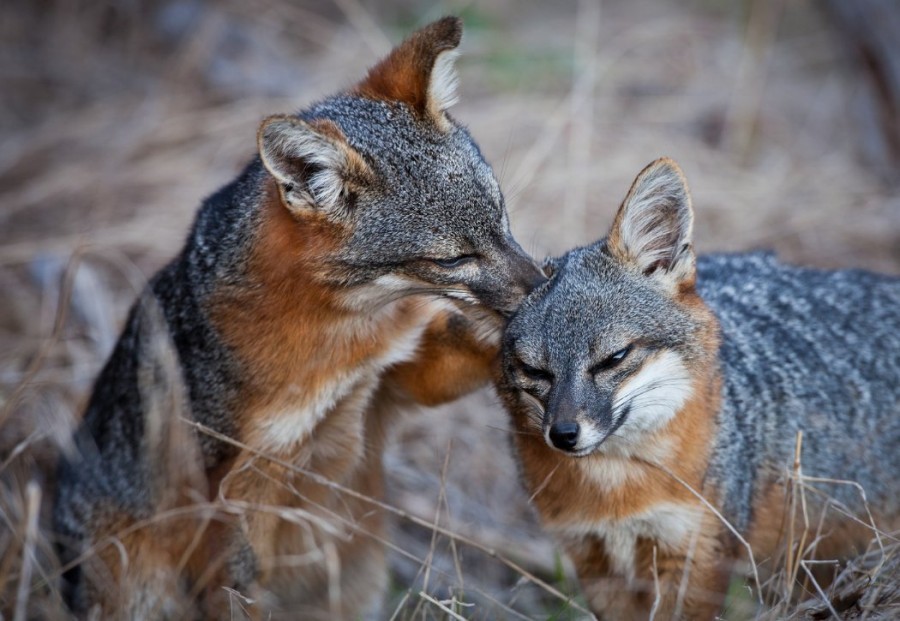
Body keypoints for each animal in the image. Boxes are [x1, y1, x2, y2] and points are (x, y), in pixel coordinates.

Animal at [58, 17, 548, 616]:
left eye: (503, 219)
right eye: (453, 259)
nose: (541, 287)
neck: (346, 342)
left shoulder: (392, 380)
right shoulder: (233, 480)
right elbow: (237, 584)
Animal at [496, 157, 900, 616]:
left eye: (613, 358)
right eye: (535, 371)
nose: (563, 435)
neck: (617, 490)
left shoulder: (694, 555)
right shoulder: (595, 560)